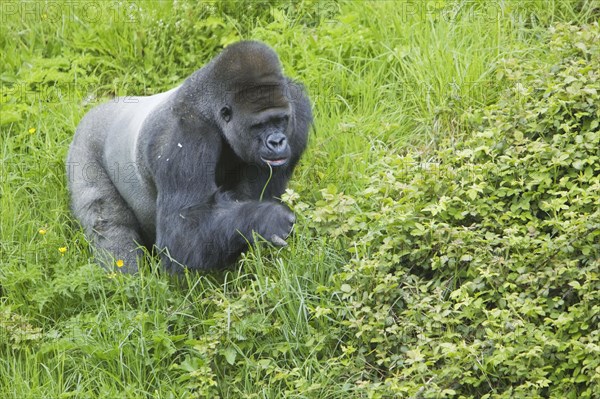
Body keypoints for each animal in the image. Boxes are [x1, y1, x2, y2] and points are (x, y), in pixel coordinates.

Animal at [67, 41, 312, 276]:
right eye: (259, 125)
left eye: (281, 119)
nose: (277, 141)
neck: (210, 109)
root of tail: (94, 110)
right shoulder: (182, 134)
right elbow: (182, 232)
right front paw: (268, 219)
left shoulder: (298, 109)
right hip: (83, 147)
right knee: (109, 223)